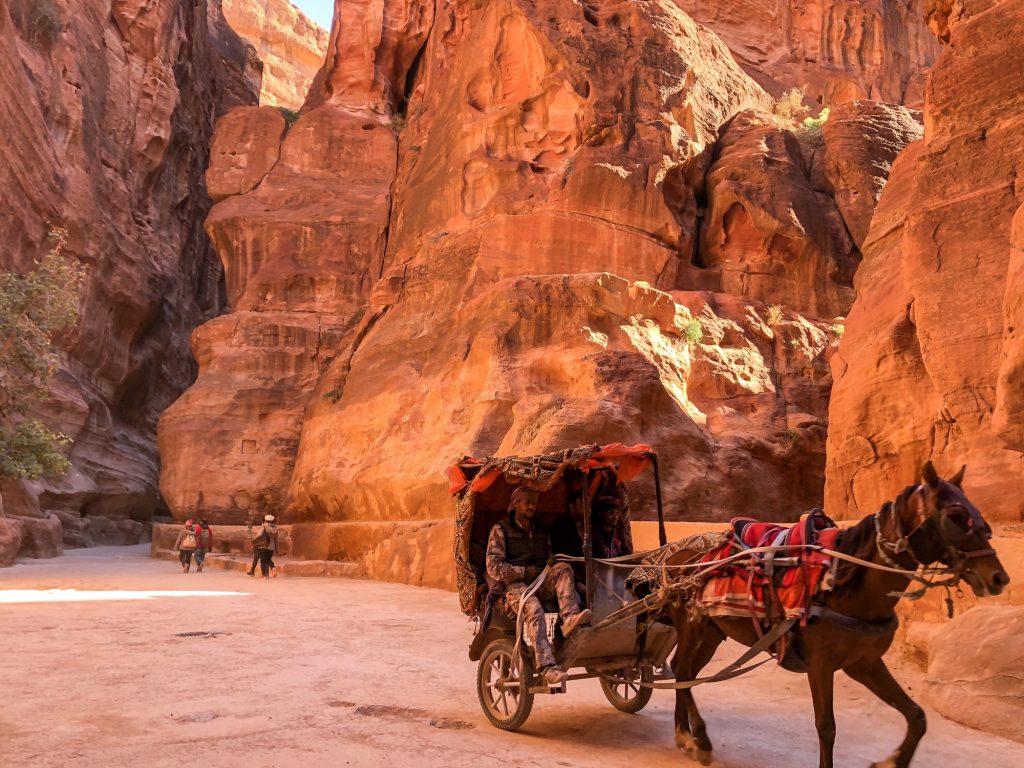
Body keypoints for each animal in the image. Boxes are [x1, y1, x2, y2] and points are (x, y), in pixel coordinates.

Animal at [663, 462, 1007, 768]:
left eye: (979, 514)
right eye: (956, 516)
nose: (999, 578)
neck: (844, 586)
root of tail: (678, 556)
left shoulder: (864, 663)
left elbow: (917, 716)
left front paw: (890, 761)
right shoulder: (820, 664)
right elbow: (826, 728)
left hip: (712, 631)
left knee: (685, 672)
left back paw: (687, 735)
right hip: (694, 624)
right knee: (682, 670)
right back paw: (696, 738)